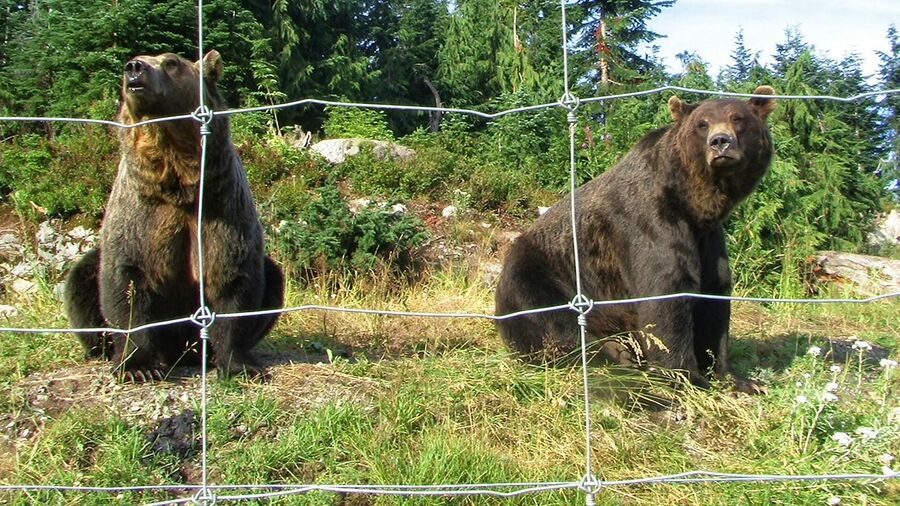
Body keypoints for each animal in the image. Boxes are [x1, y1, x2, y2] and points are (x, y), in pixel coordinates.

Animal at [65, 52, 284, 384]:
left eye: (171, 62)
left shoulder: (221, 209)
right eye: (137, 59)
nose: (135, 68)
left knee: (273, 277)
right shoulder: (141, 214)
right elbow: (127, 283)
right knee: (83, 277)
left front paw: (239, 364)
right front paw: (138, 366)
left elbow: (233, 281)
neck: (177, 177)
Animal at [496, 86, 776, 392]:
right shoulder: (649, 222)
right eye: (702, 124)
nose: (720, 142)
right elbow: (665, 294)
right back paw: (615, 353)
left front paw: (738, 379)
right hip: (539, 275)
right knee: (552, 323)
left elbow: (713, 298)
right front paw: (687, 376)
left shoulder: (708, 238)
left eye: (738, 118)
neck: (693, 203)